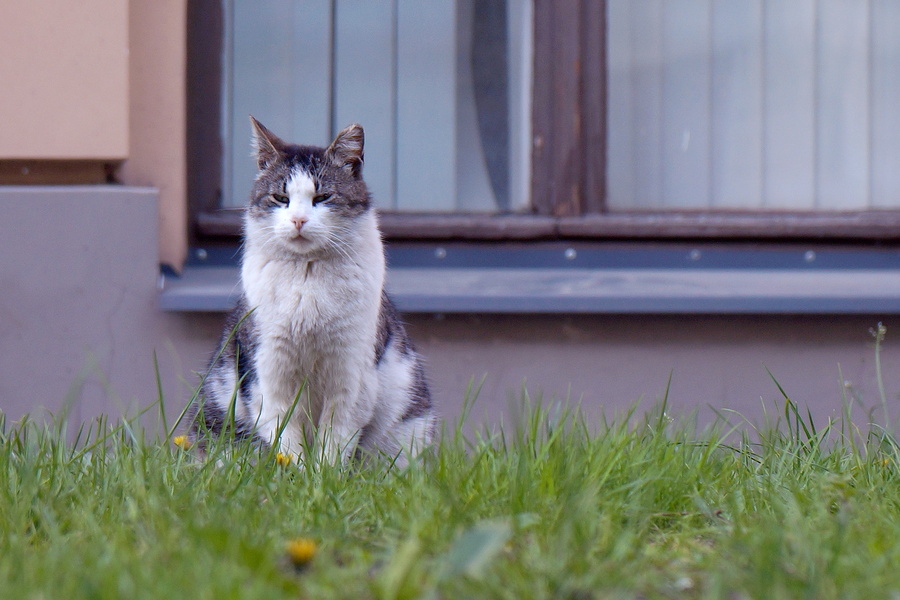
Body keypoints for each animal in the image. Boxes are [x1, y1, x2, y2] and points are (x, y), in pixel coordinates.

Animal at [192, 115, 438, 466]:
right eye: (280, 198)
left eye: (322, 198)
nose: (298, 219)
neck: (307, 279)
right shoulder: (270, 375)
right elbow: (286, 440)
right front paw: (294, 473)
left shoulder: (351, 376)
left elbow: (334, 442)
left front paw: (323, 474)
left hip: (406, 430)